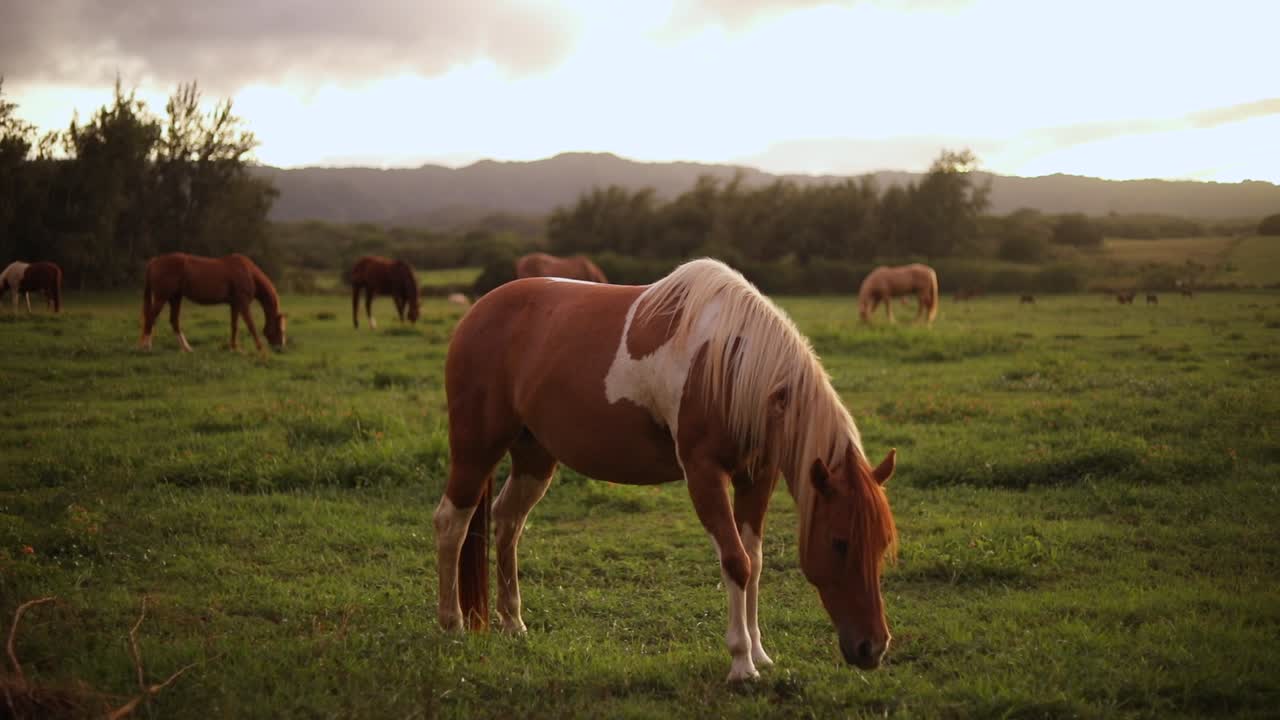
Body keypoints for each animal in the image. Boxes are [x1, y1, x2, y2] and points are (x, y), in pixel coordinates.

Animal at [139, 253, 286, 353]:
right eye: (280, 329)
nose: (280, 347)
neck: (248, 272)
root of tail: (154, 261)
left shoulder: (235, 305)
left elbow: (234, 326)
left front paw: (234, 348)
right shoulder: (243, 304)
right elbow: (251, 325)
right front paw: (260, 348)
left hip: (175, 298)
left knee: (174, 321)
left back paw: (187, 348)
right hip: (162, 298)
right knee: (151, 318)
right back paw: (146, 347)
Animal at [436, 258, 898, 681]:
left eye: (881, 543)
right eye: (840, 543)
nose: (872, 648)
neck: (729, 363)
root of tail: (478, 312)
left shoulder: (757, 476)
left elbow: (755, 560)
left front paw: (760, 653)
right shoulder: (704, 473)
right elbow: (736, 561)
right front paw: (741, 664)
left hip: (534, 457)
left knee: (508, 521)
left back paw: (513, 623)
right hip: (475, 449)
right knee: (451, 522)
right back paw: (451, 624)